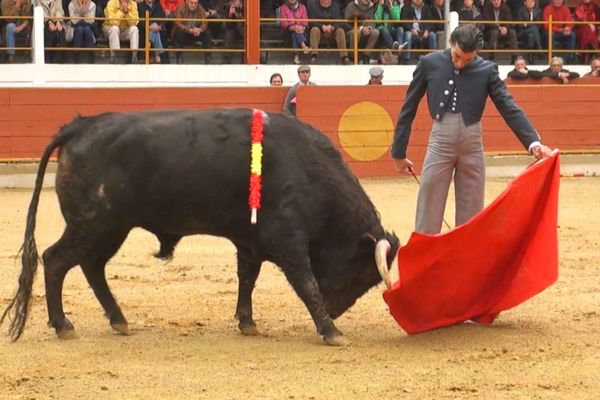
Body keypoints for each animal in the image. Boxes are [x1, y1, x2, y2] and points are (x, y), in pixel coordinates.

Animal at [3, 108, 404, 346]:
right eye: (363, 274)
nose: (335, 311)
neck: (311, 171)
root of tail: (80, 125)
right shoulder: (287, 240)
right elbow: (306, 284)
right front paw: (332, 331)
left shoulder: (251, 241)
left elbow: (247, 278)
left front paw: (247, 322)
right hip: (94, 223)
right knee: (56, 260)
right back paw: (63, 325)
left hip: (109, 228)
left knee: (91, 266)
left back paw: (119, 320)